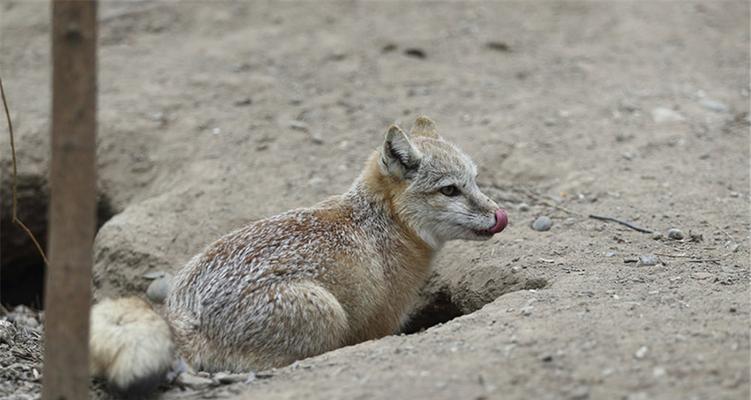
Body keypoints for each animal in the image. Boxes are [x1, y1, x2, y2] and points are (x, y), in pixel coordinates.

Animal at [89, 116, 512, 396]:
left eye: (475, 181)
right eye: (450, 190)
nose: (499, 215)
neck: (380, 226)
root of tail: (186, 315)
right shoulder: (380, 323)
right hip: (325, 309)